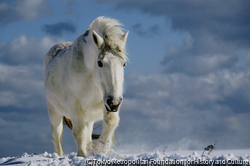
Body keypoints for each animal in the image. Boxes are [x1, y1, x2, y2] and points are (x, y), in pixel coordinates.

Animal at [43, 16, 129, 157]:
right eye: (100, 63)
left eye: (124, 64)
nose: (114, 103)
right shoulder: (74, 107)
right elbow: (78, 133)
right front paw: (83, 155)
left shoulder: (107, 101)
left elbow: (111, 122)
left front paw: (98, 150)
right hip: (54, 110)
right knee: (57, 135)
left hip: (89, 117)